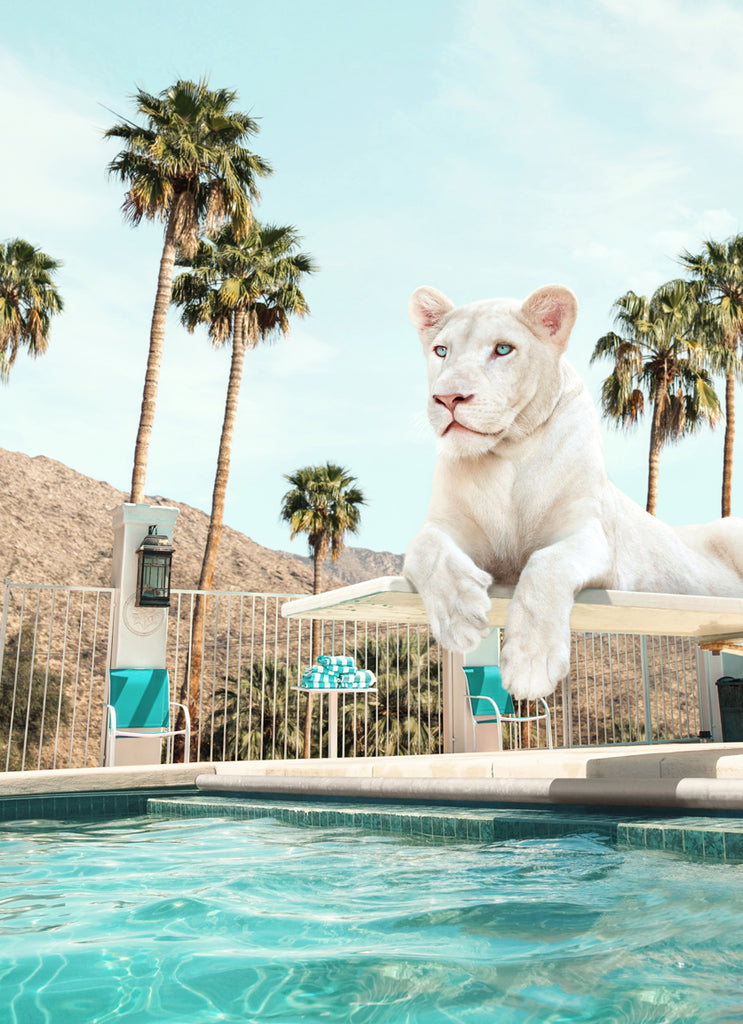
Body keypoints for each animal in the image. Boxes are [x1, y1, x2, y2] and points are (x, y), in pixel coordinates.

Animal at [402, 284, 743, 700]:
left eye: (503, 349)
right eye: (441, 351)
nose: (448, 398)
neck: (507, 453)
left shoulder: (591, 536)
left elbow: (545, 564)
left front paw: (531, 665)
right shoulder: (446, 526)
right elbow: (426, 550)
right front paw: (461, 619)